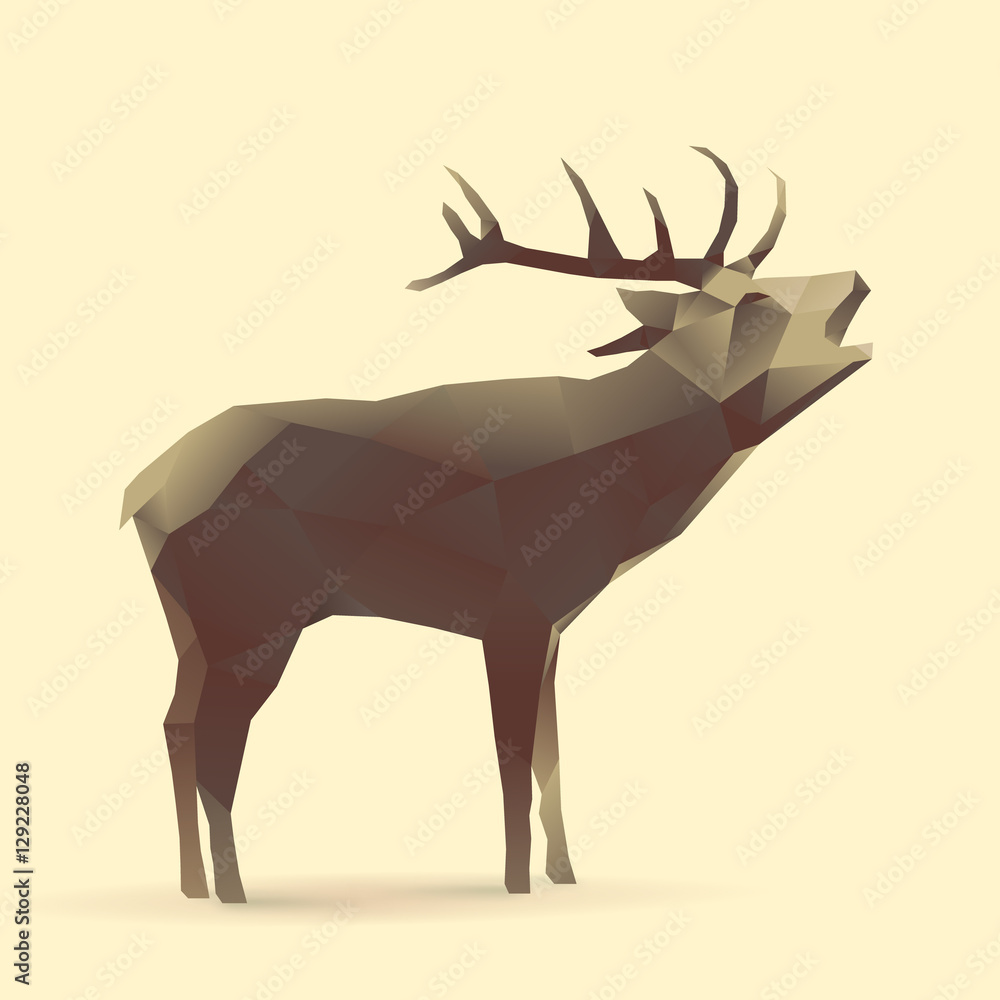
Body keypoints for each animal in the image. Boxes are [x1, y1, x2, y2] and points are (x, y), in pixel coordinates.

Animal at [121, 147, 871, 901]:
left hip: (194, 627)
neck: (631, 480)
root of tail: (141, 492)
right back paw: (233, 889)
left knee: (176, 724)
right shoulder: (516, 610)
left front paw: (565, 873)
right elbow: (514, 752)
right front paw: (516, 882)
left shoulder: (554, 623)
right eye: (756, 302)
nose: (857, 279)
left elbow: (551, 752)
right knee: (215, 736)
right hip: (250, 619)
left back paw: (193, 884)